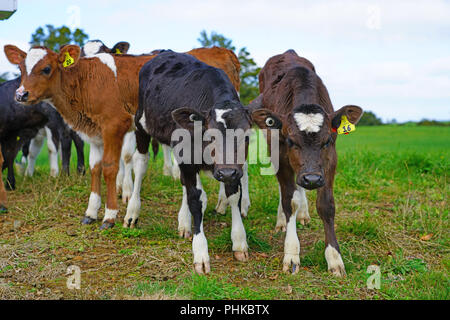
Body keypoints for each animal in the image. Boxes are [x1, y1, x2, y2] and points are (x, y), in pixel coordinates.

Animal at [127, 51, 253, 274]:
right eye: (211, 135)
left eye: (245, 136)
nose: (226, 173)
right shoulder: (187, 158)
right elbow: (196, 198)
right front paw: (200, 252)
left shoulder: (232, 168)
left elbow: (233, 196)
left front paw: (239, 242)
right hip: (141, 123)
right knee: (141, 163)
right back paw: (132, 212)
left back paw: (184, 220)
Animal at [251, 49, 364, 276]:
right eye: (291, 141)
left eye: (326, 141)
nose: (311, 179)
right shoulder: (280, 153)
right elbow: (289, 201)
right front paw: (291, 253)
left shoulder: (330, 161)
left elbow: (326, 205)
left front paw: (334, 258)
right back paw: (282, 221)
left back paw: (303, 213)